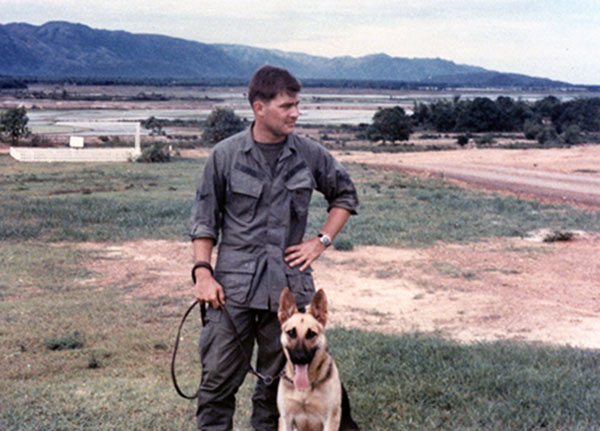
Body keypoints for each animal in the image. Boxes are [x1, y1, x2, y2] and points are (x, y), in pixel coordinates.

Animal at [278, 288, 358, 431]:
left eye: (311, 334)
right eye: (291, 333)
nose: (299, 358)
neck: (305, 389)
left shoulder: (331, 419)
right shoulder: (285, 419)